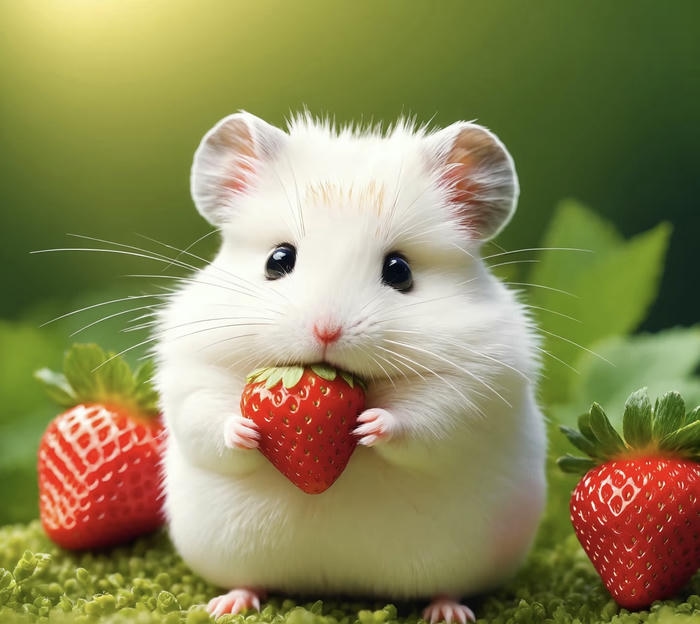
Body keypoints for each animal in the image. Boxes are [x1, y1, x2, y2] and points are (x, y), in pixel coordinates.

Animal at [155, 111, 547, 623]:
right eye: (278, 259)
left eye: (399, 270)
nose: (326, 331)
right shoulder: (191, 367)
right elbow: (207, 417)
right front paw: (246, 430)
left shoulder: (478, 382)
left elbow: (430, 420)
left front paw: (369, 426)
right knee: (245, 580)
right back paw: (229, 605)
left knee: (449, 588)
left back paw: (447, 612)